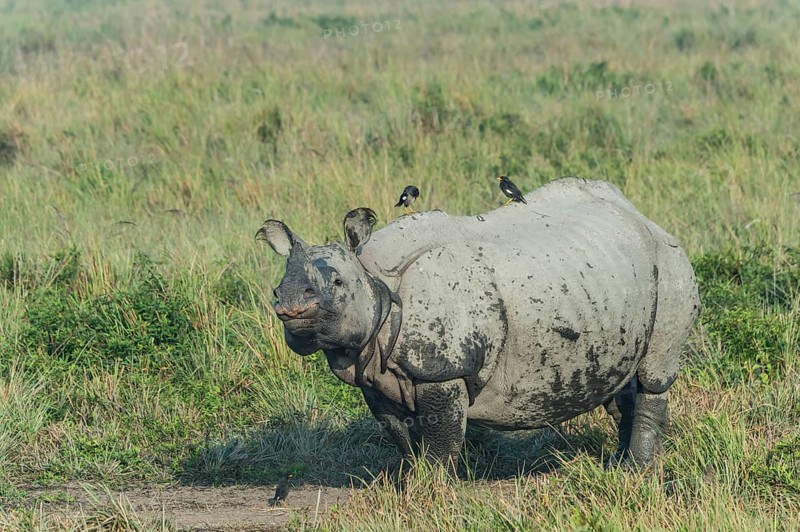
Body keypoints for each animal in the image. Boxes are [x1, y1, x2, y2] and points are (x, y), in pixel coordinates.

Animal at [257, 177, 700, 469]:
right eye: (277, 287)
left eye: (336, 283)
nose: (289, 306)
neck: (373, 276)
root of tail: (641, 214)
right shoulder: (374, 370)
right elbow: (401, 438)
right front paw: (409, 485)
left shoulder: (443, 369)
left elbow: (442, 443)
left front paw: (434, 492)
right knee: (622, 382)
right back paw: (618, 466)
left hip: (670, 263)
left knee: (654, 374)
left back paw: (637, 471)